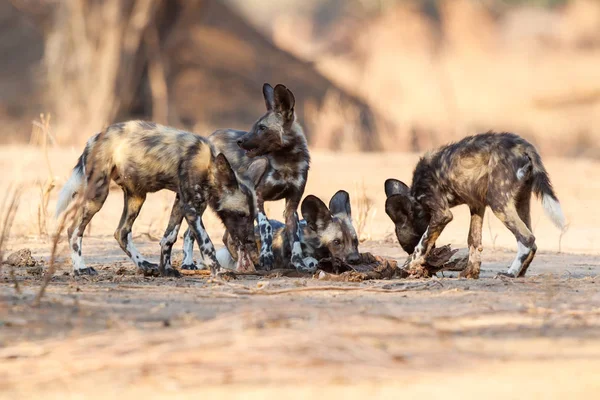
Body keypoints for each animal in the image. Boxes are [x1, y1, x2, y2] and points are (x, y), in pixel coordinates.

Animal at [54, 122, 264, 276]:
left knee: (121, 232)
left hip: (137, 197)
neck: (208, 167)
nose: (250, 241)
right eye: (241, 215)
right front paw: (219, 272)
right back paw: (81, 268)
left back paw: (145, 265)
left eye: (251, 216)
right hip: (98, 195)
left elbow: (169, 237)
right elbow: (206, 243)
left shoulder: (181, 202)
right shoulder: (191, 208)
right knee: (73, 230)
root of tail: (95, 137)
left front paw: (167, 269)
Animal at [180, 83, 314, 274]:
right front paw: (266, 257)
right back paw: (188, 263)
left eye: (262, 128)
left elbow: (295, 239)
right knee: (189, 233)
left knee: (226, 236)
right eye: (254, 126)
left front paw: (299, 264)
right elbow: (266, 226)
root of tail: (211, 136)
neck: (287, 163)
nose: (240, 141)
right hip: (206, 200)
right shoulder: (258, 197)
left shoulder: (291, 206)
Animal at [384, 133, 568, 280]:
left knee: (527, 238)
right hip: (520, 202)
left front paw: (409, 265)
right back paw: (520, 273)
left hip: (498, 203)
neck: (417, 200)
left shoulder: (442, 214)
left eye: (408, 246)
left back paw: (510, 273)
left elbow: (423, 243)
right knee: (532, 240)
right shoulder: (477, 205)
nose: (408, 253)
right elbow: (473, 240)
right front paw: (470, 273)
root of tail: (523, 146)